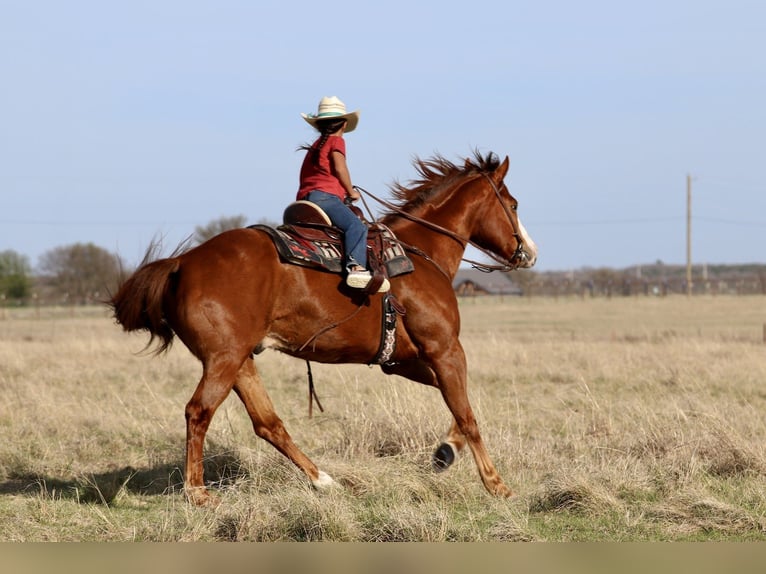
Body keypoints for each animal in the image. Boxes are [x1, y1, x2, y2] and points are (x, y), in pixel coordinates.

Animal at [109, 150, 537, 505]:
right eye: (513, 204)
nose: (529, 253)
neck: (420, 255)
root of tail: (182, 263)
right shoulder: (445, 349)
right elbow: (467, 415)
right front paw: (496, 484)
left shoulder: (404, 361)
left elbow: (458, 405)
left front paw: (445, 452)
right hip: (223, 360)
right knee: (198, 412)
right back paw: (197, 493)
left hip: (239, 361)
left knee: (268, 423)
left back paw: (323, 481)